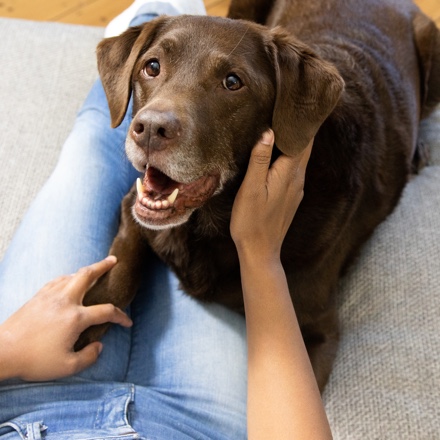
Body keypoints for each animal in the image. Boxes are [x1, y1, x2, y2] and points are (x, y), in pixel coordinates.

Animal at [78, 0, 440, 390]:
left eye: (233, 82)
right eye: (152, 67)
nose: (149, 130)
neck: (205, 225)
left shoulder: (315, 335)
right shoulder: (134, 203)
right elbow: (120, 266)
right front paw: (84, 314)